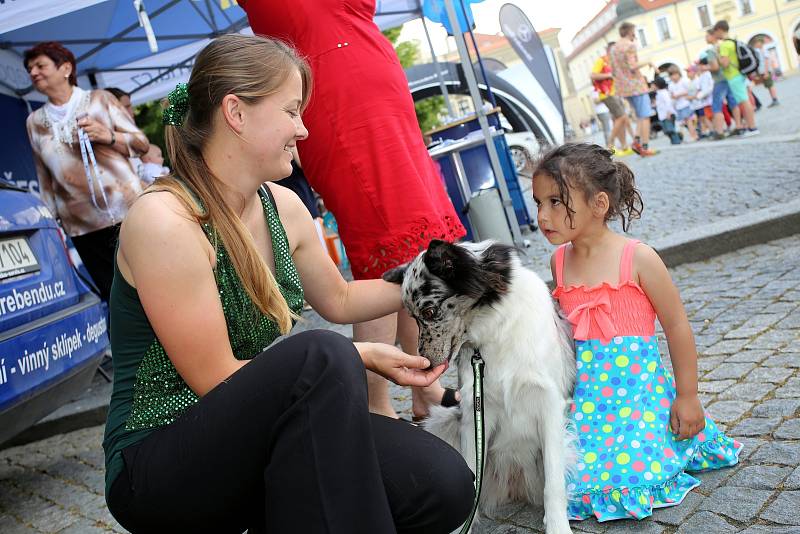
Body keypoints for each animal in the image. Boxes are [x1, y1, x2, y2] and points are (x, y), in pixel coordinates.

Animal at [386, 242, 580, 534]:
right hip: (445, 421)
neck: (494, 331)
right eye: (412, 318)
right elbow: (470, 472)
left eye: (428, 313)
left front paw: (557, 526)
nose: (424, 365)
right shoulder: (472, 411)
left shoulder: (549, 403)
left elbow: (554, 481)